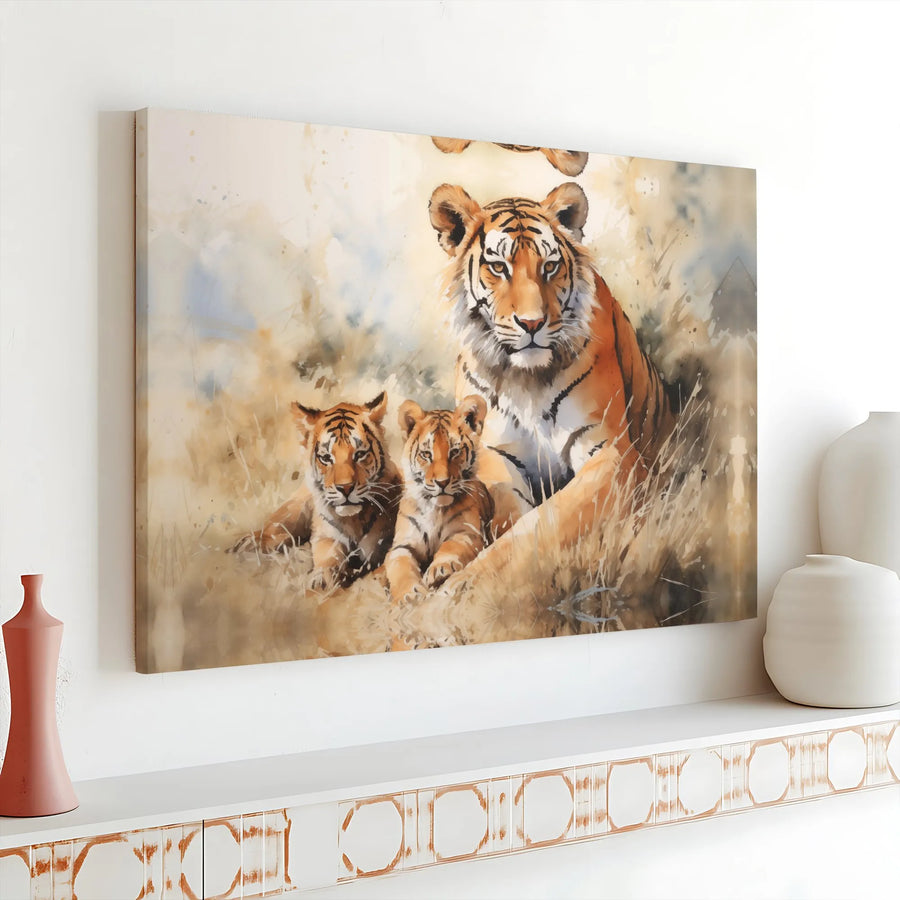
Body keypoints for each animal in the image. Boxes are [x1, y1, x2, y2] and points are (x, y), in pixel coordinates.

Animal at [231, 392, 402, 591]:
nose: (345, 488)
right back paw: (247, 545)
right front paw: (323, 579)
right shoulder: (325, 536)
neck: (353, 519)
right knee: (273, 530)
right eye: (326, 458)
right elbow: (327, 556)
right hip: (294, 509)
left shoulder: (384, 542)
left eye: (359, 454)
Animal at [386, 395, 494, 603]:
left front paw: (439, 570)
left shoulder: (467, 532)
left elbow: (450, 546)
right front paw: (408, 594)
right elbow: (399, 567)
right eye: (426, 454)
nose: (442, 482)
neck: (433, 508)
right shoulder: (402, 545)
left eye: (455, 452)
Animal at [427, 181, 676, 539]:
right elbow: (509, 514)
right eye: (499, 267)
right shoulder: (494, 454)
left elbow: (544, 524)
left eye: (549, 266)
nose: (532, 323)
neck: (526, 380)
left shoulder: (611, 451)